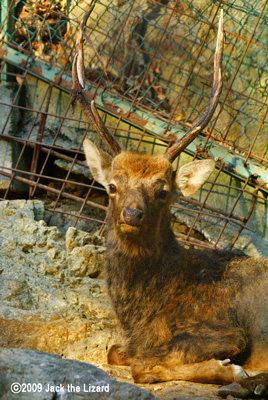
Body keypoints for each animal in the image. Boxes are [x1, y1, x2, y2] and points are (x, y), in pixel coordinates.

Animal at [72, 8, 268, 396]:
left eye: (162, 190)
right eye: (112, 185)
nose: (133, 213)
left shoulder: (228, 331)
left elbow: (141, 365)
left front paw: (230, 370)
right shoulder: (129, 341)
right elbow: (116, 351)